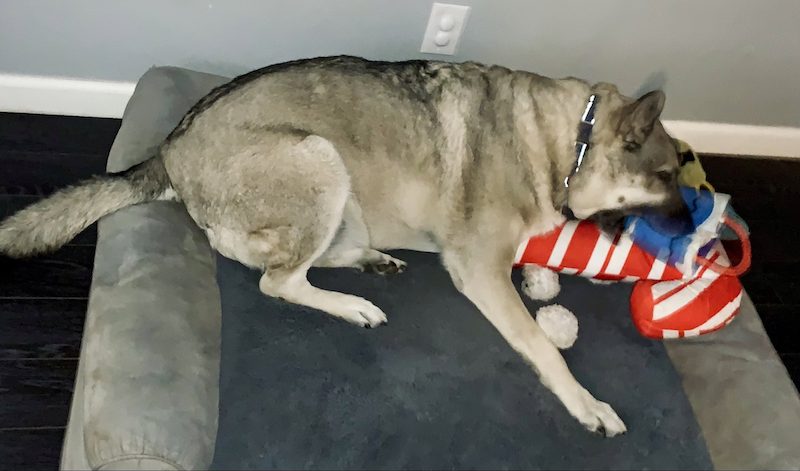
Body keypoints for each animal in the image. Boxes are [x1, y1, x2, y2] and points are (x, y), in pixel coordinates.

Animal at [0, 57, 688, 436]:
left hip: (339, 198)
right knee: (278, 280)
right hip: (320, 158)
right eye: (666, 176)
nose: (688, 227)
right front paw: (586, 403)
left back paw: (370, 262)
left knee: (299, 261)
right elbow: (545, 348)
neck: (571, 141)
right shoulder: (481, 269)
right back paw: (353, 305)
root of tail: (170, 148)